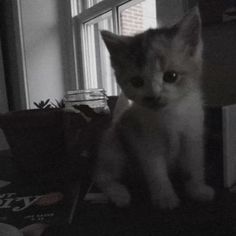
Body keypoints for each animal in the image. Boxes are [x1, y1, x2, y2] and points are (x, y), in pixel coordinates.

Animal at [93, 7, 214, 210]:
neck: (169, 114)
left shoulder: (193, 134)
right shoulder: (145, 141)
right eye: (137, 82)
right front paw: (165, 197)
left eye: (171, 76)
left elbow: (194, 165)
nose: (153, 96)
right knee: (102, 176)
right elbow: (156, 171)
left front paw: (198, 190)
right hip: (114, 144)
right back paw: (119, 193)